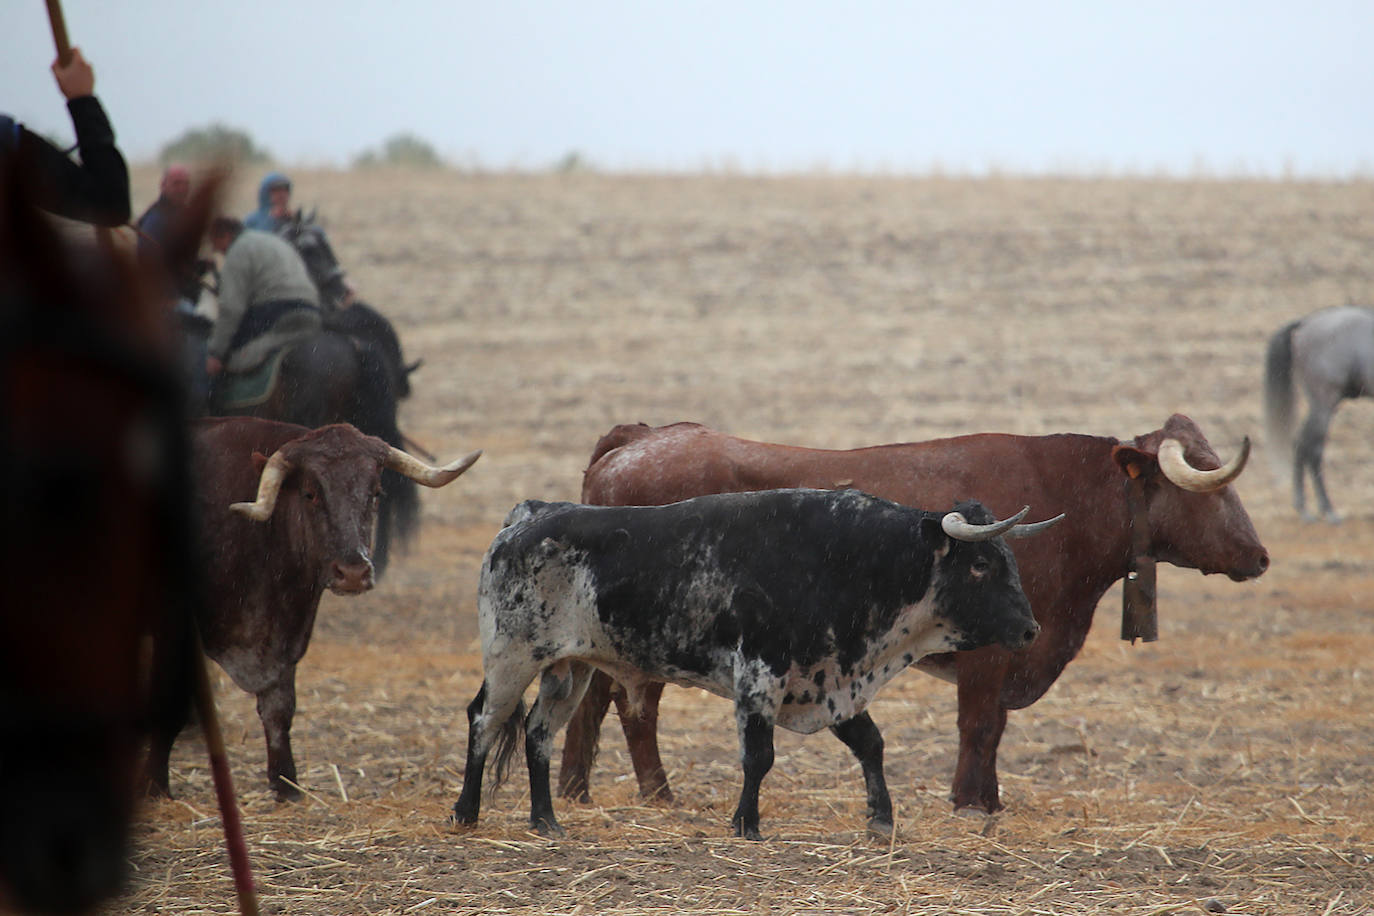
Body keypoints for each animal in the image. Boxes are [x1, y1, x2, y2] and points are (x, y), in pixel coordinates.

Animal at [456, 491, 1055, 840]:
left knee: (538, 733)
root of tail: (528, 517)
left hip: (570, 668)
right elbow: (758, 757)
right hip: (510, 658)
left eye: (1009, 561)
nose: (1029, 630)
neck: (850, 560)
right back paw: (466, 811)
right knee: (484, 721)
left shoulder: (830, 681)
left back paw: (545, 821)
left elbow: (871, 744)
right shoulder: (760, 677)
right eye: (981, 564)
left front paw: (882, 820)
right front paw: (746, 824)